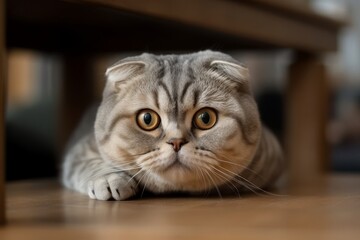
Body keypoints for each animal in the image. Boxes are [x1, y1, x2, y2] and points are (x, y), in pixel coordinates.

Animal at [62, 50, 284, 201]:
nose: (176, 142)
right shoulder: (80, 150)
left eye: (205, 118)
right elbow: (89, 163)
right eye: (147, 119)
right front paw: (109, 180)